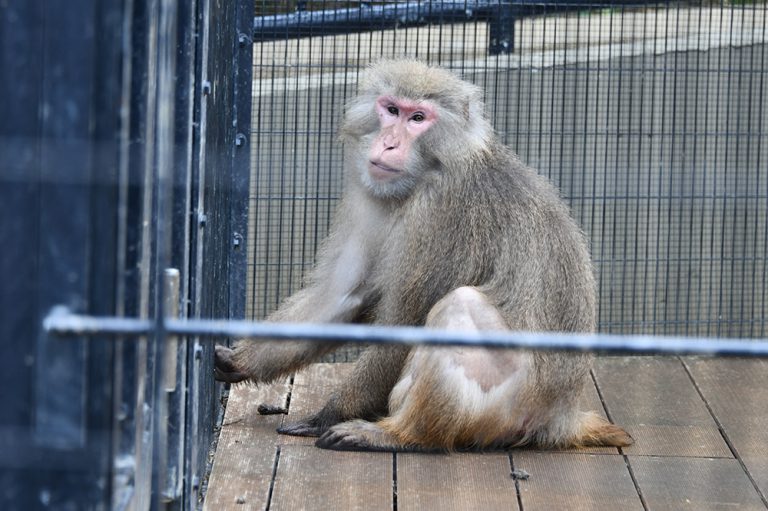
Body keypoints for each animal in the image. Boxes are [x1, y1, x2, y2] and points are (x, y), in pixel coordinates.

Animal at [214, 59, 632, 452]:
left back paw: (400, 434)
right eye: (391, 110)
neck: (422, 177)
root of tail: (561, 417)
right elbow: (341, 296)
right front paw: (242, 360)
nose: (388, 144)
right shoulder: (368, 194)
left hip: (512, 402)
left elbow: (404, 323)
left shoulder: (441, 213)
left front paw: (328, 414)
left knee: (460, 306)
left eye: (418, 118)